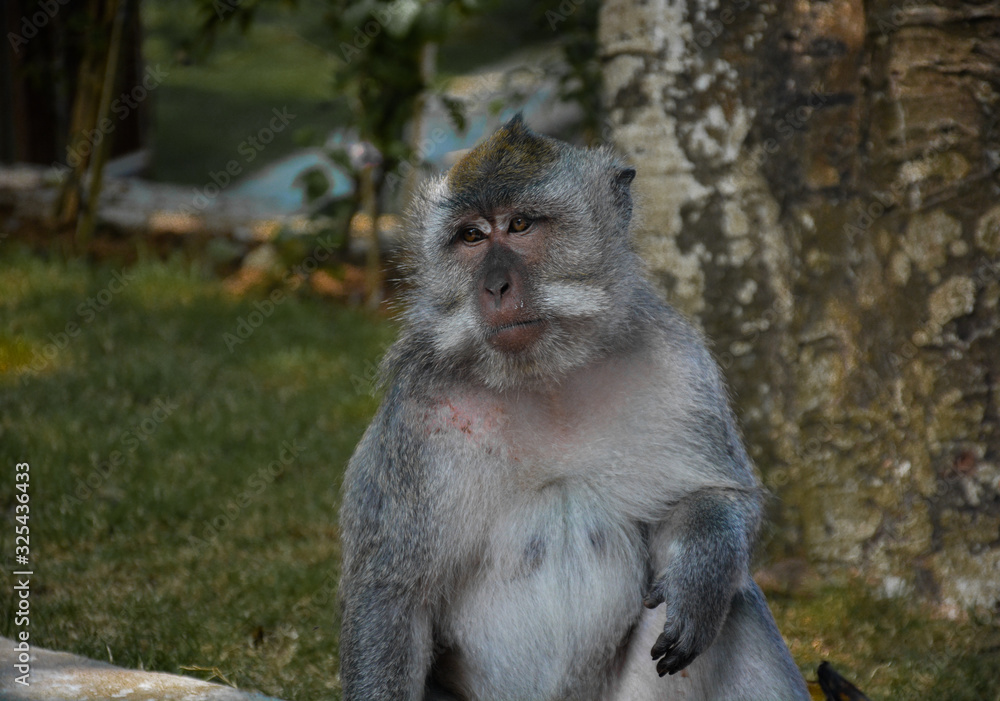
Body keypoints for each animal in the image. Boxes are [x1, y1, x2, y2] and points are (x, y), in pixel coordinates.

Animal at [338, 115, 810, 701]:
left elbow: (717, 496)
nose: (495, 286)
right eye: (471, 236)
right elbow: (392, 594)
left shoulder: (680, 366)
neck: (547, 378)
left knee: (737, 603)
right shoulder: (416, 419)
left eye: (519, 225)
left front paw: (699, 580)